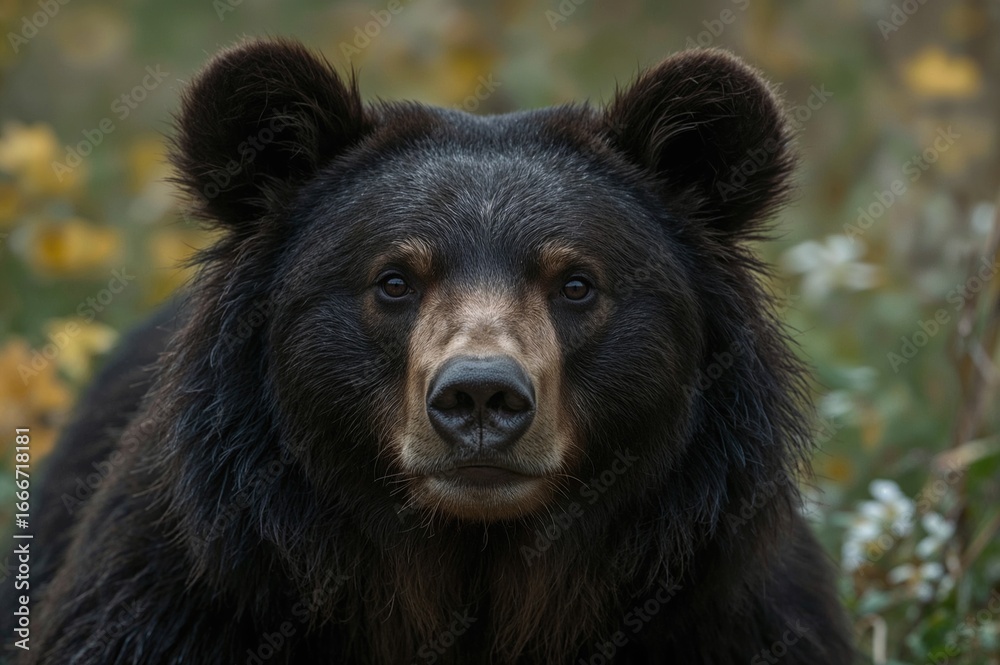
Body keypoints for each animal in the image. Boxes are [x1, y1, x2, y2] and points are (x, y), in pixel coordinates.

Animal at [6, 38, 855, 664]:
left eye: (577, 283)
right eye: (393, 281)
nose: (480, 396)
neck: (468, 571)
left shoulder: (728, 613)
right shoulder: (183, 600)